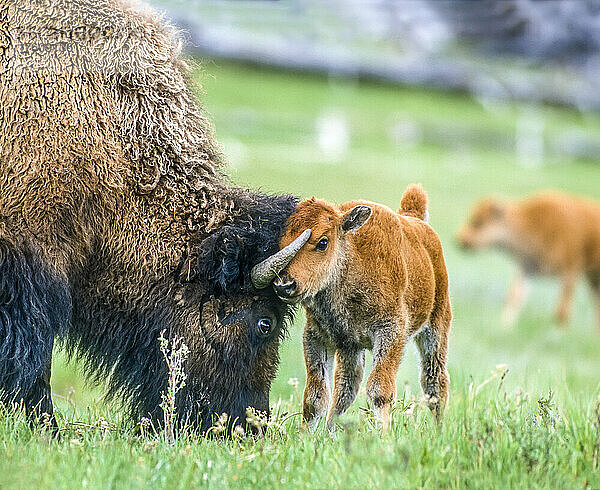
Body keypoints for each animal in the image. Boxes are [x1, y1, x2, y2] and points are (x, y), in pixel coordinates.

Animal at [268, 186, 450, 430]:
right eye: (281, 242)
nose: (284, 285)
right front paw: (305, 435)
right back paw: (330, 430)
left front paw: (384, 434)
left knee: (434, 381)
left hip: (436, 328)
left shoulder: (390, 333)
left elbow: (379, 389)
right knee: (346, 388)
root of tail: (416, 220)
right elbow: (316, 396)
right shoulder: (318, 337)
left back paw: (439, 430)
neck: (352, 262)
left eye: (323, 242)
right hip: (351, 349)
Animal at [458, 191, 600, 330]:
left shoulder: (570, 271)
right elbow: (514, 296)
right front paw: (505, 326)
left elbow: (562, 311)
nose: (459, 240)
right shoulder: (527, 269)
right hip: (593, 279)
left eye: (478, 222)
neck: (532, 224)